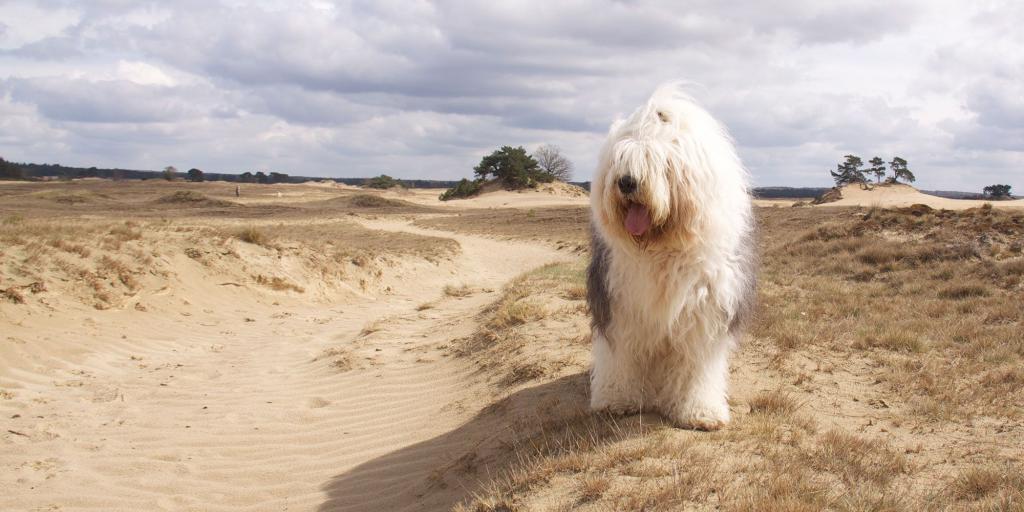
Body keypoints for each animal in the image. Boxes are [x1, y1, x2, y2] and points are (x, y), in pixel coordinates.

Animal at [589, 84, 757, 432]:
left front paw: (700, 412)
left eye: (654, 158)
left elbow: (695, 366)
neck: (660, 247)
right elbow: (620, 357)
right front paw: (616, 399)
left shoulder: (705, 313)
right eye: (619, 158)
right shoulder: (620, 307)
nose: (626, 182)